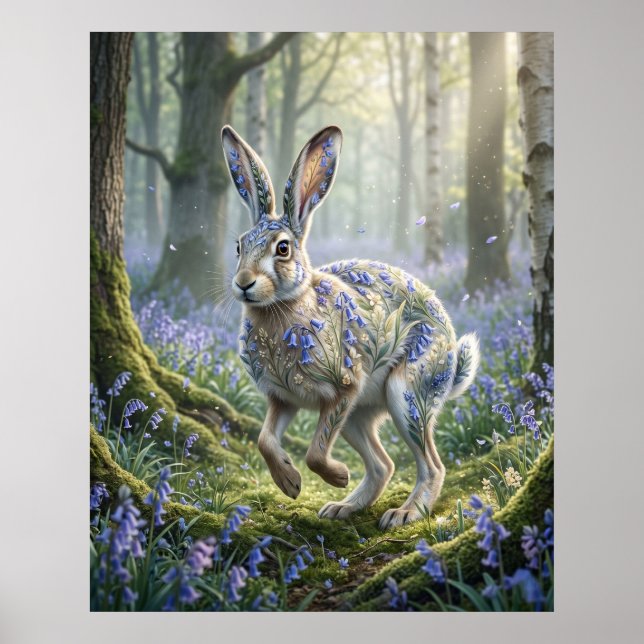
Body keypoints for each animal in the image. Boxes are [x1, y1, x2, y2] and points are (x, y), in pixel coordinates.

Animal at [221, 124, 479, 529]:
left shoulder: (343, 387)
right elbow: (265, 440)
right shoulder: (283, 398)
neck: (285, 307)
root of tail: (453, 360)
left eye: (283, 249)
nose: (244, 283)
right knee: (383, 465)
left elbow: (314, 452)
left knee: (432, 465)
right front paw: (291, 483)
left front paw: (336, 475)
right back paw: (342, 507)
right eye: (239, 246)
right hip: (360, 415)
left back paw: (403, 513)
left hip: (407, 396)